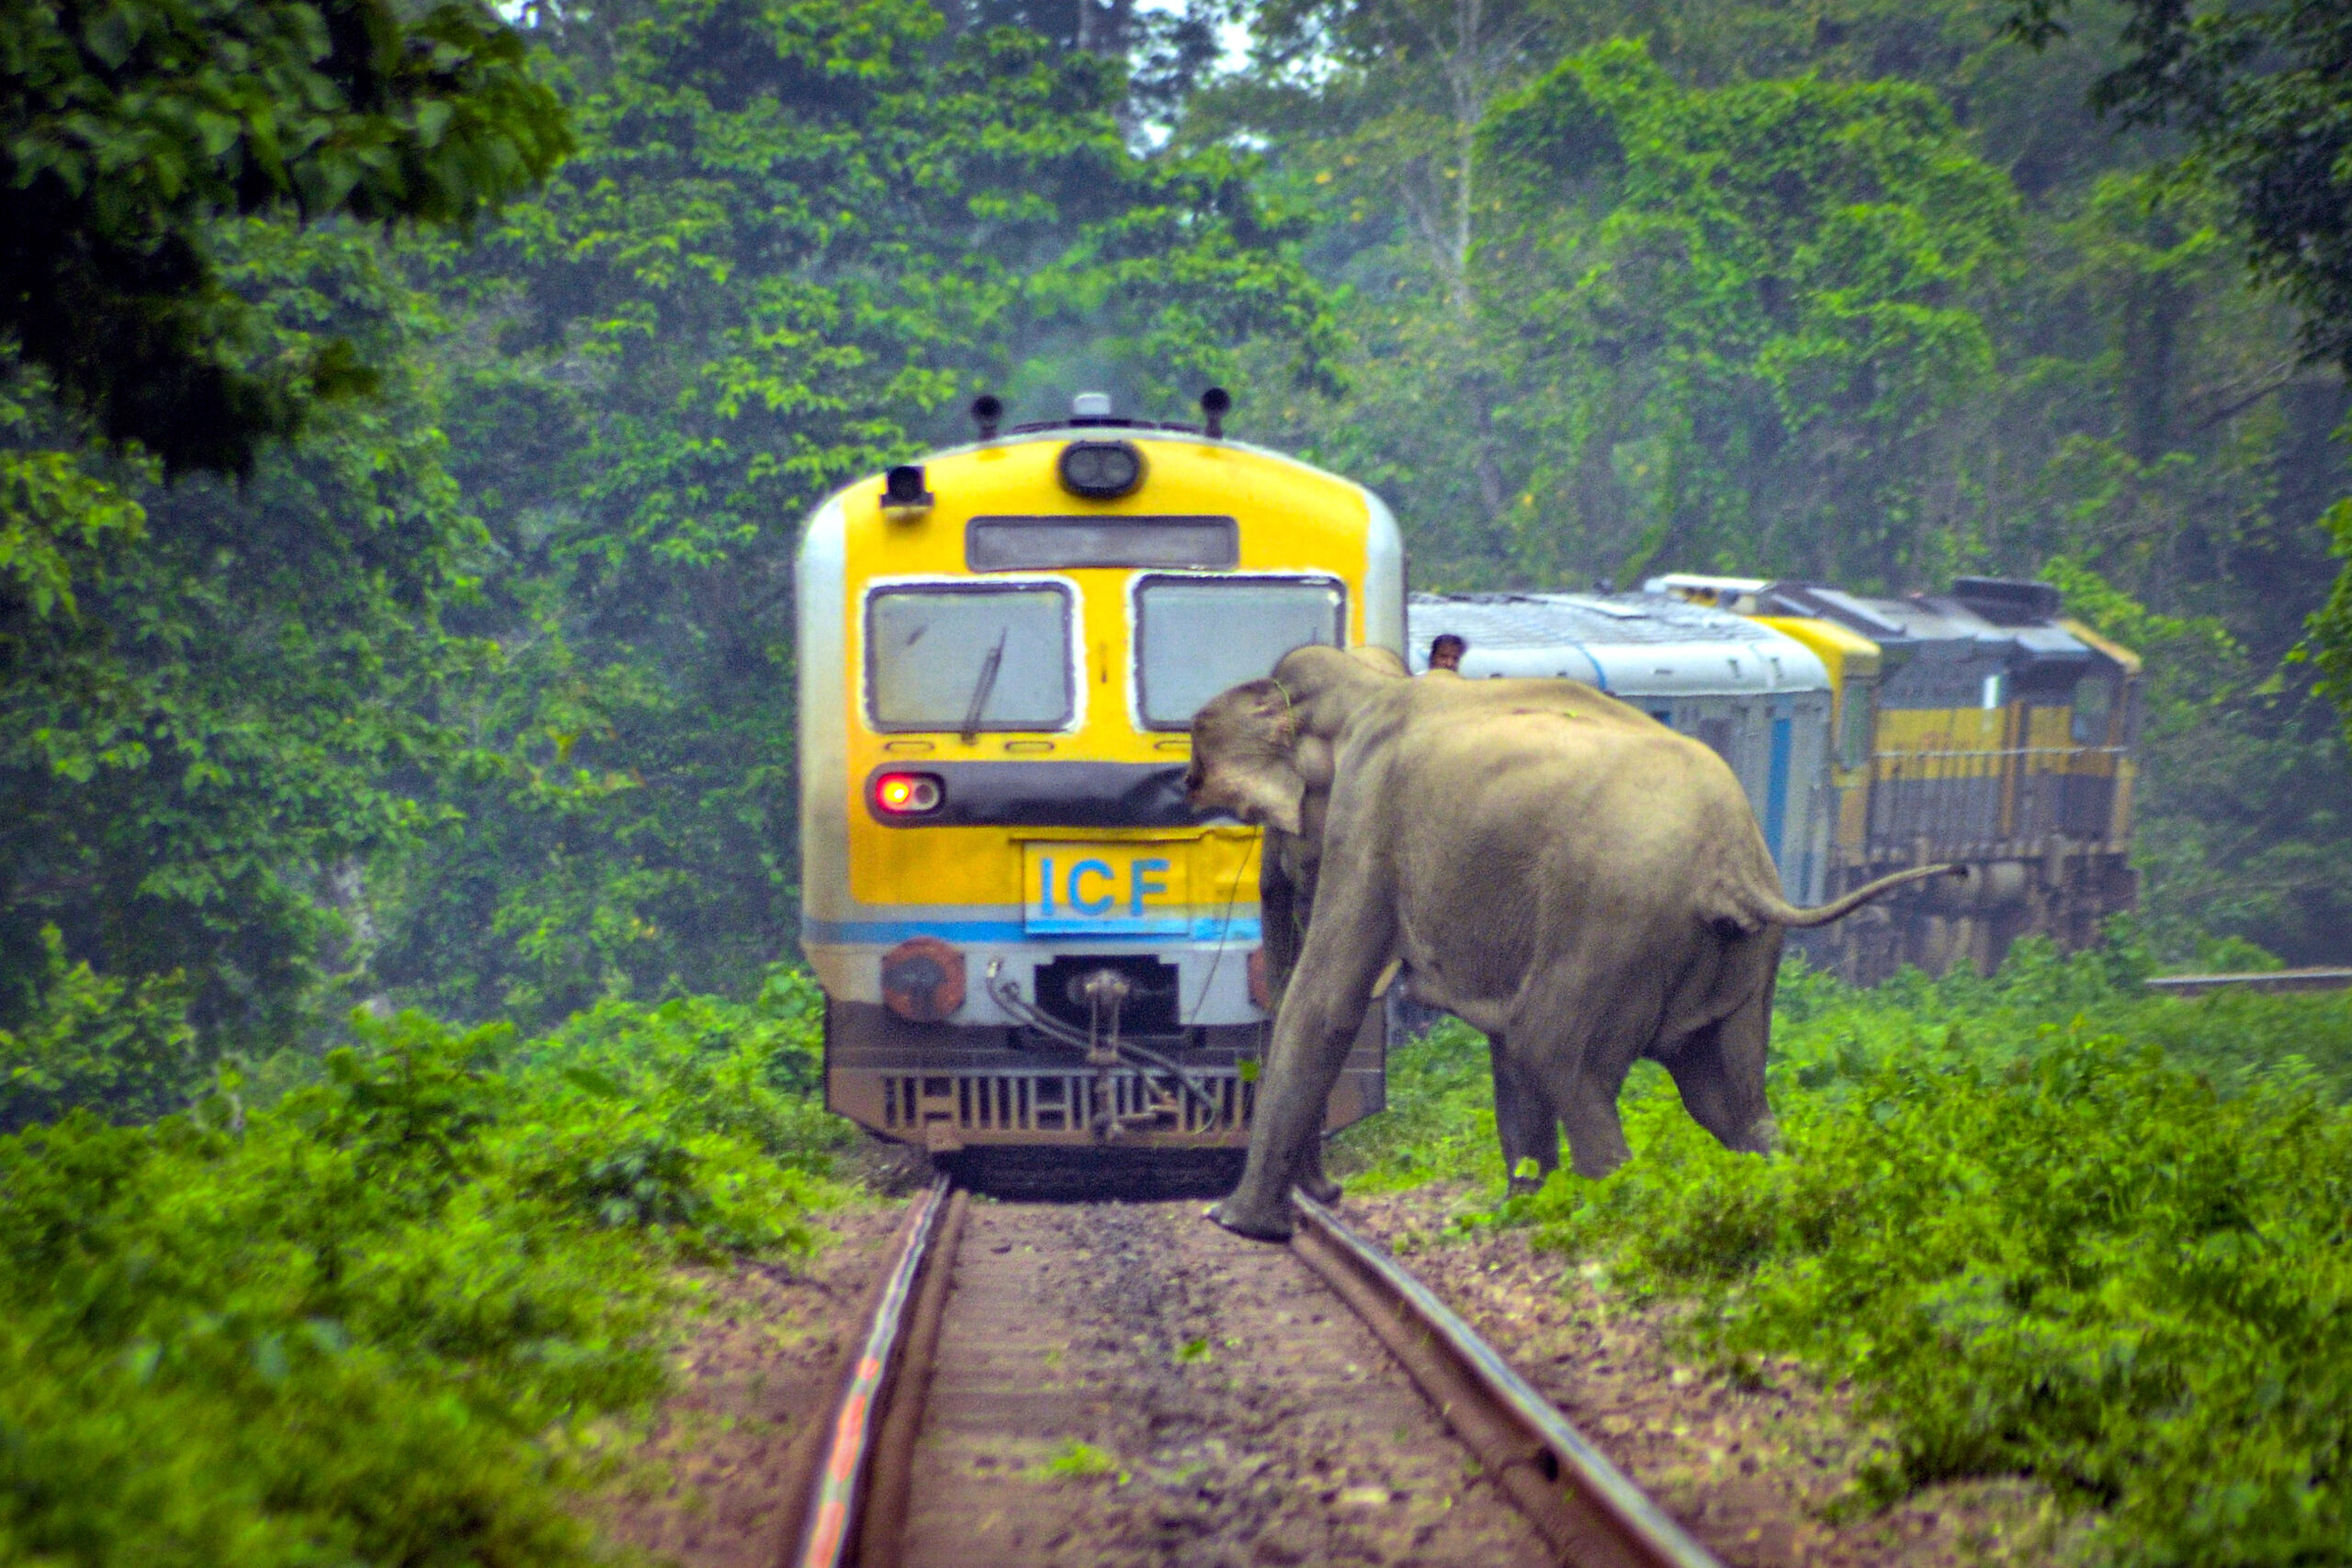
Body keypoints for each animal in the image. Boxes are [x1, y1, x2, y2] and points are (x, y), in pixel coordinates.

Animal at [1185, 639, 1956, 1241]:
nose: (1331, 1194)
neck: (1371, 679)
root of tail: (1733, 862)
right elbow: (1498, 1047)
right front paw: (1519, 1210)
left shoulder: (1368, 816)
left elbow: (1328, 999)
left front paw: (1236, 1223)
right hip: (1740, 955)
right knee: (1730, 1101)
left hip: (1614, 925)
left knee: (1558, 1052)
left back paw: (1617, 1218)